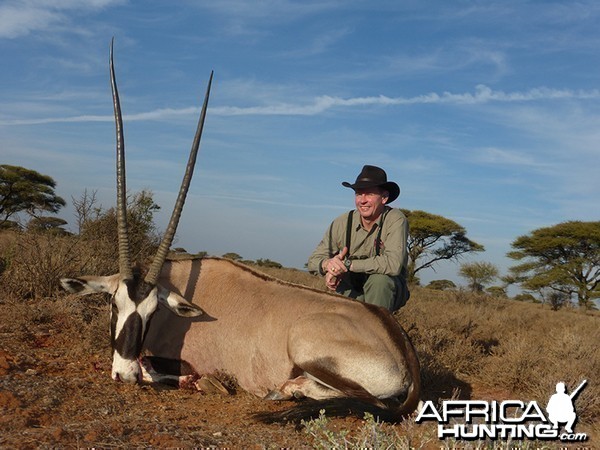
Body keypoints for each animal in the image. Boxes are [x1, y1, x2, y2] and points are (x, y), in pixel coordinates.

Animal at [59, 41, 418, 422]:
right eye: (114, 304)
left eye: (152, 312)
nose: (124, 374)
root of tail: (400, 344)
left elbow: (168, 370)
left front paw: (203, 381)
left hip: (306, 347)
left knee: (372, 401)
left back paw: (286, 391)